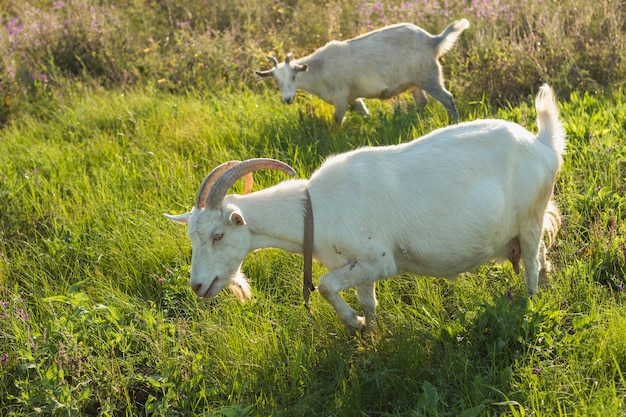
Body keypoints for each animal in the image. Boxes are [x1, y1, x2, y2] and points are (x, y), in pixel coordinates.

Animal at [166, 85, 564, 334]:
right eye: (192, 237)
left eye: (218, 235)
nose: (197, 285)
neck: (314, 209)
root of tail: (542, 144)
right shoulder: (355, 265)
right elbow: (366, 300)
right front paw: (369, 331)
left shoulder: (379, 259)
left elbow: (326, 287)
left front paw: (353, 324)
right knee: (542, 256)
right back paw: (547, 288)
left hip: (529, 220)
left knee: (531, 265)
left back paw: (530, 302)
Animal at [255, 18, 468, 122]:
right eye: (276, 81)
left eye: (293, 76)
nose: (287, 99)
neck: (319, 69)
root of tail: (433, 40)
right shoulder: (352, 97)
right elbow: (363, 111)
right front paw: (371, 123)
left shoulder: (341, 96)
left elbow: (337, 119)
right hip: (415, 82)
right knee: (422, 101)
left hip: (429, 77)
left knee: (447, 98)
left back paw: (455, 122)